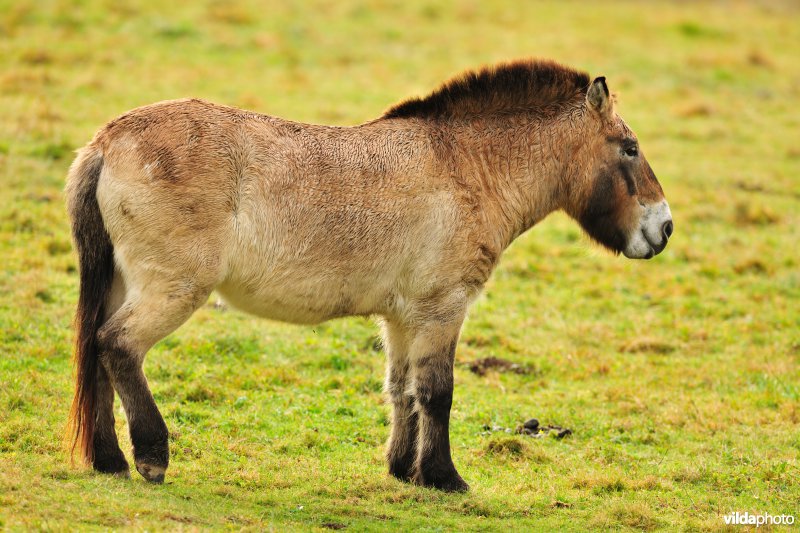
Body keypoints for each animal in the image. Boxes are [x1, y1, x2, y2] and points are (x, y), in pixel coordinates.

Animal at [65, 59, 672, 492]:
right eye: (630, 148)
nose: (664, 227)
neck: (467, 167)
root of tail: (107, 141)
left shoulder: (403, 318)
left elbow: (401, 390)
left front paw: (404, 470)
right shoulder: (443, 308)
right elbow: (437, 391)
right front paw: (445, 477)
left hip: (122, 283)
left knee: (96, 348)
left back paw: (109, 460)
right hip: (171, 289)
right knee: (118, 344)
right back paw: (151, 456)